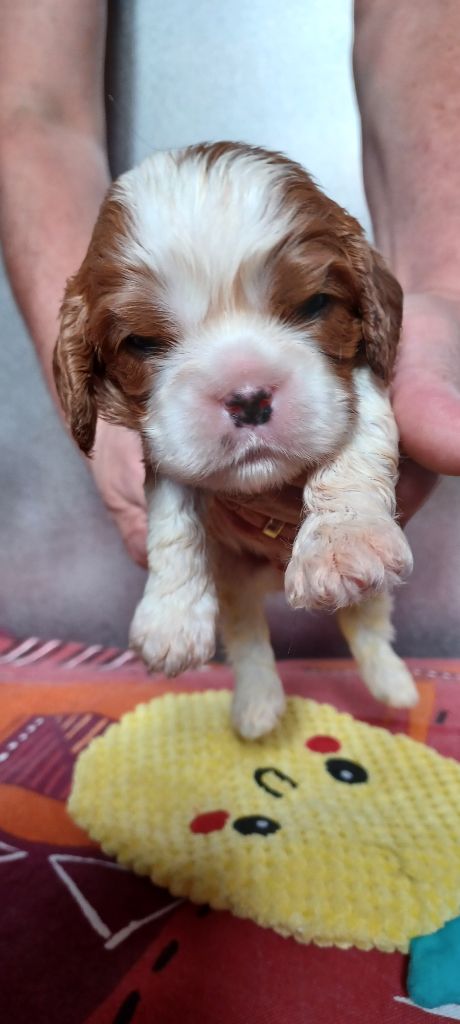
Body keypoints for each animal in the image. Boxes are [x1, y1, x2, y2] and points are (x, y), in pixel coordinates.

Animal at [53, 142, 418, 738]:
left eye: (314, 306)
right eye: (143, 342)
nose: (248, 397)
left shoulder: (362, 378)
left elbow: (357, 443)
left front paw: (343, 541)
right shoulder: (165, 443)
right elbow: (172, 517)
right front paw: (171, 618)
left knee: (366, 622)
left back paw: (394, 685)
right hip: (236, 586)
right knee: (249, 639)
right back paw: (258, 707)